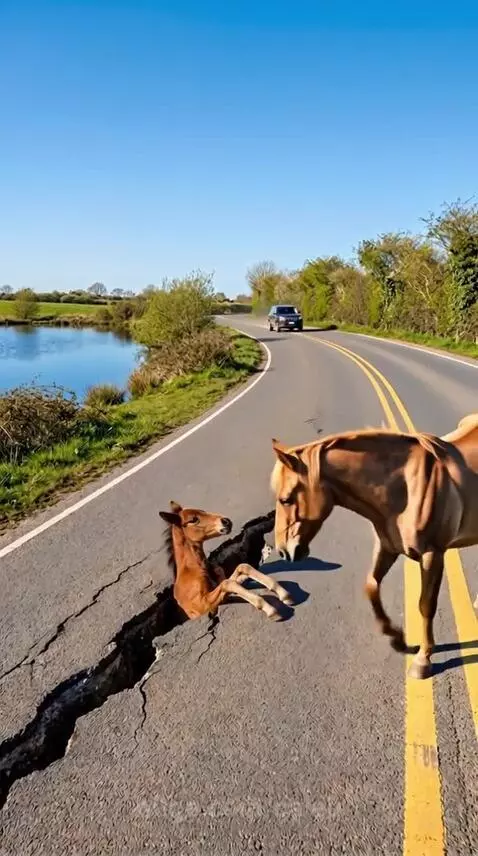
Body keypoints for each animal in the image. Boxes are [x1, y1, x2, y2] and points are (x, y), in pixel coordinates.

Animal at [159, 501, 293, 621]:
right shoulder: (204, 606)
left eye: (203, 510)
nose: (226, 521)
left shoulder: (222, 592)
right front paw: (270, 609)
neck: (193, 571)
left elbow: (242, 568)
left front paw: (284, 594)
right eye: (193, 519)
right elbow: (228, 583)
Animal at [270, 413, 478, 679]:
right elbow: (371, 586)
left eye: (285, 499)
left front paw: (422, 661)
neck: (406, 488)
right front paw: (397, 638)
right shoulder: (387, 547)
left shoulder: (433, 555)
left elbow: (425, 605)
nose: (284, 551)